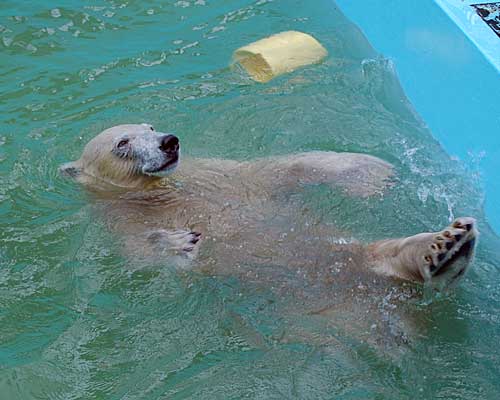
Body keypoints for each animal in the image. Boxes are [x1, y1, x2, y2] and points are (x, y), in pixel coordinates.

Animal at [60, 123, 478, 290]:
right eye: (122, 143)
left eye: (150, 126)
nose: (169, 142)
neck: (157, 193)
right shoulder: (122, 222)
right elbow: (146, 258)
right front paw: (179, 240)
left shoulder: (220, 175)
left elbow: (282, 168)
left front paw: (371, 172)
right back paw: (444, 255)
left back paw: (449, 244)